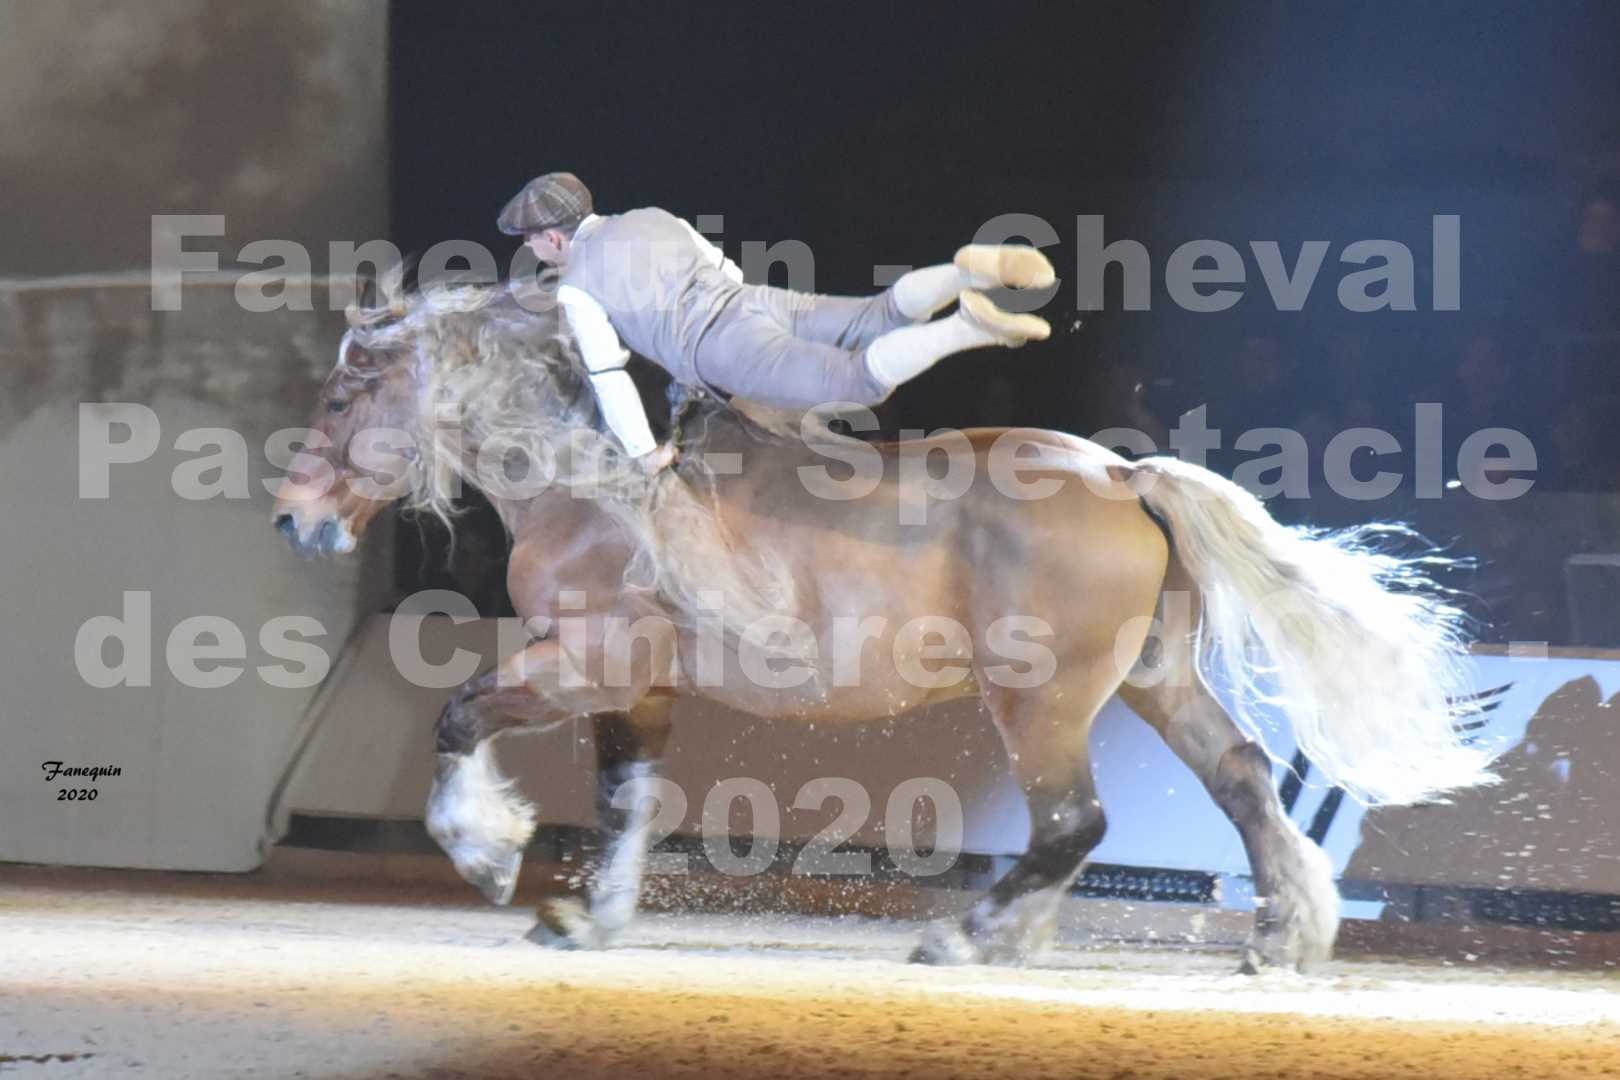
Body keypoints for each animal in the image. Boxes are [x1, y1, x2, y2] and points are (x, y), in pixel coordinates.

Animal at [265, 278, 1490, 971]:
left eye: (341, 399)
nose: (292, 518)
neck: (586, 483)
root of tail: (1122, 473)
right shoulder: (638, 688)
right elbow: (624, 802)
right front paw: (591, 921)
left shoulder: (585, 663)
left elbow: (461, 717)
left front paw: (484, 852)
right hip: (1151, 679)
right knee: (1237, 776)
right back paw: (1281, 936)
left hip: (1040, 699)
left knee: (1073, 822)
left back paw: (970, 936)